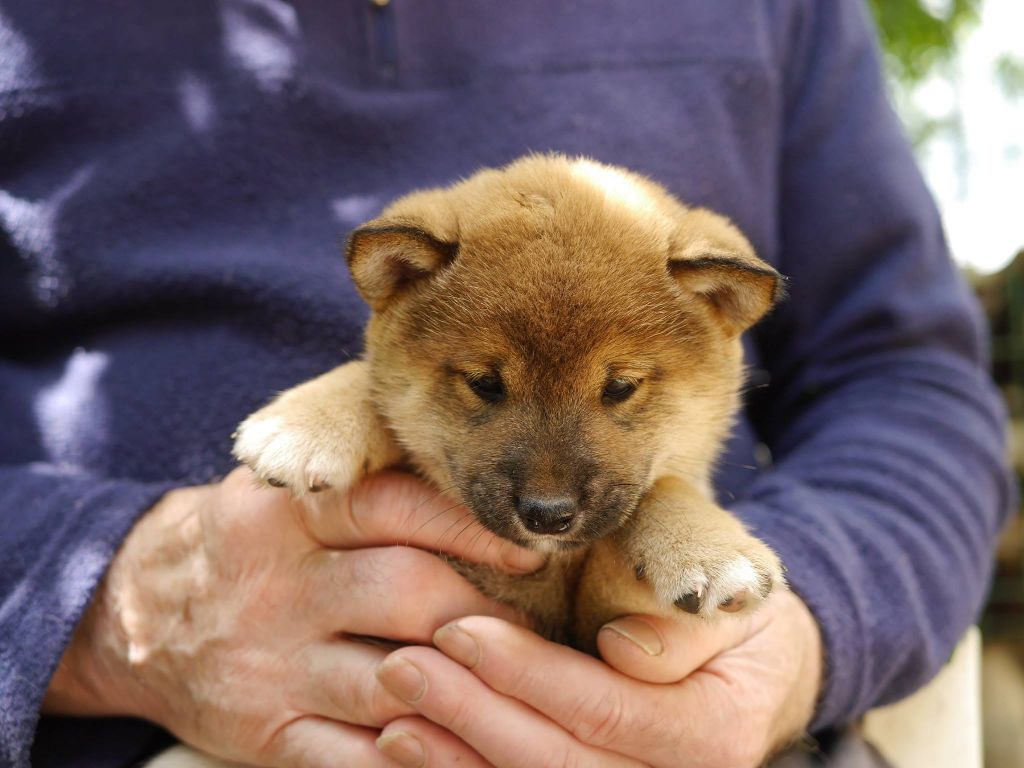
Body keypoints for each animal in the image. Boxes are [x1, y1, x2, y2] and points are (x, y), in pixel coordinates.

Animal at [235, 154, 786, 643]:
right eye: (484, 383)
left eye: (620, 387)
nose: (547, 515)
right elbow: (367, 378)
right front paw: (308, 423)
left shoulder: (598, 623)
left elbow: (665, 489)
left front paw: (707, 547)